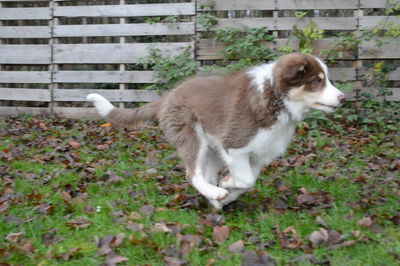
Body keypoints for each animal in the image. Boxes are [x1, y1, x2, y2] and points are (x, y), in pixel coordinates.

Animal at [86, 52, 344, 210]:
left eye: (326, 79)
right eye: (317, 81)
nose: (343, 98)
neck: (275, 99)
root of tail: (167, 97)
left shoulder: (260, 154)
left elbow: (248, 182)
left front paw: (228, 189)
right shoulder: (235, 145)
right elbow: (245, 179)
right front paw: (227, 186)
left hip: (213, 149)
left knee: (205, 174)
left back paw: (214, 198)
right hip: (193, 137)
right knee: (193, 174)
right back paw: (214, 193)